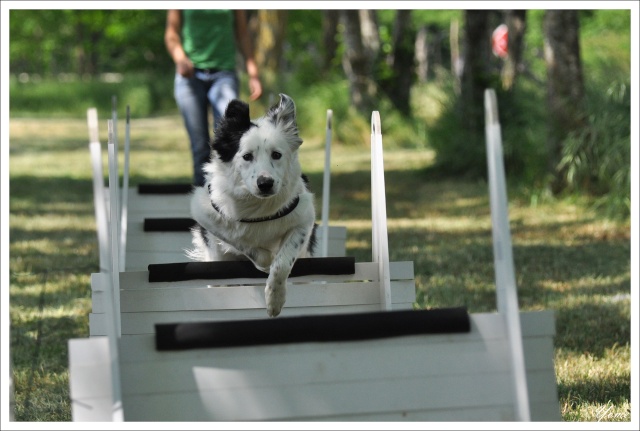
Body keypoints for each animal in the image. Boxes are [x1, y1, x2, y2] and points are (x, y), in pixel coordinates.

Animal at [188, 94, 318, 318]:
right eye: (247, 156)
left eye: (276, 155)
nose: (265, 183)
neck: (258, 204)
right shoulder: (206, 213)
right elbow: (238, 238)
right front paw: (265, 259)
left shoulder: (304, 218)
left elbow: (283, 261)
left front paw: (275, 299)